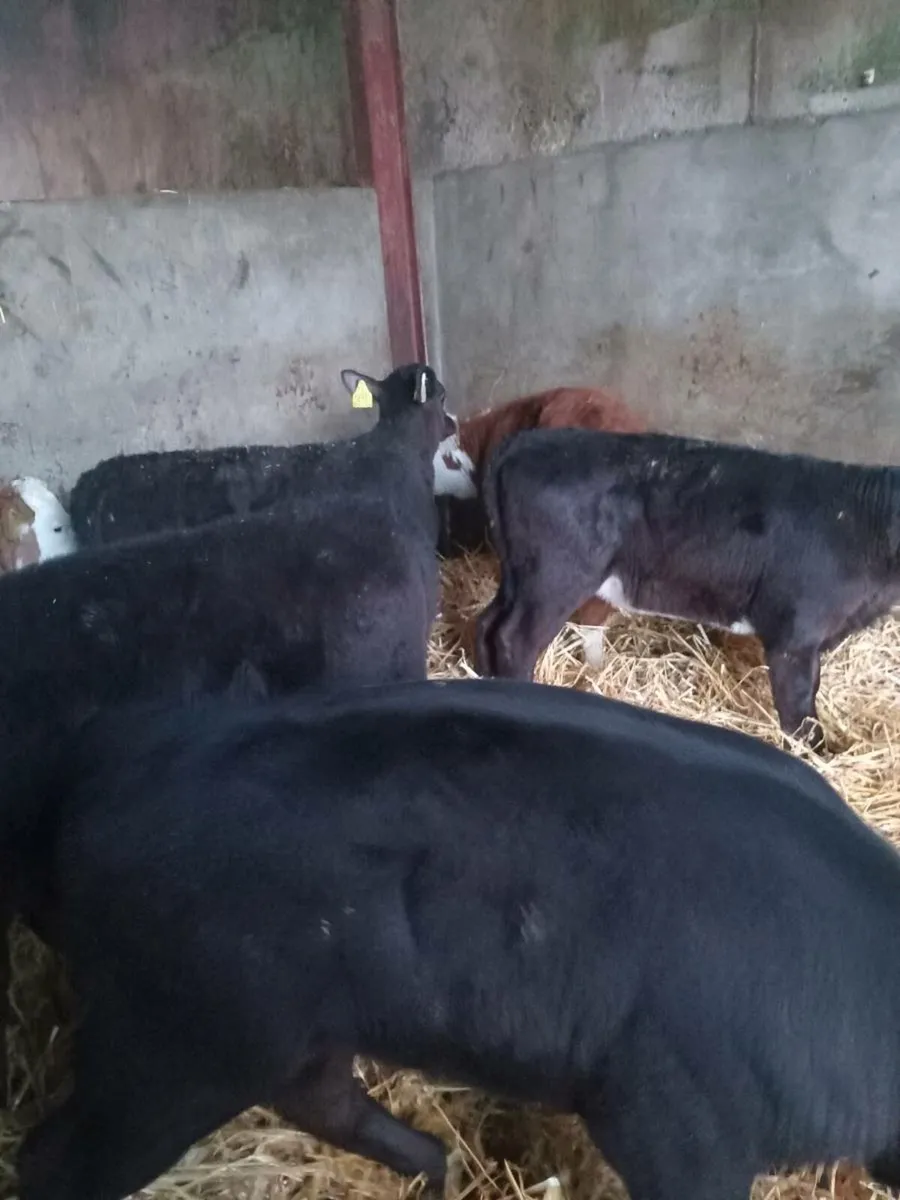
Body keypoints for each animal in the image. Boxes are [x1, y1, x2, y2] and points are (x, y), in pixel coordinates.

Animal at [18, 677, 900, 1200]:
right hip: (179, 1035)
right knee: (53, 1158)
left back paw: (434, 1171)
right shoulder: (677, 1122)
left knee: (325, 1100)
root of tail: (101, 765)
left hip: (280, 1029)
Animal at [474, 428, 900, 747]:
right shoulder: (794, 636)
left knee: (486, 623)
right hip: (554, 578)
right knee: (515, 638)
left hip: (519, 575)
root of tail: (527, 441)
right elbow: (800, 710)